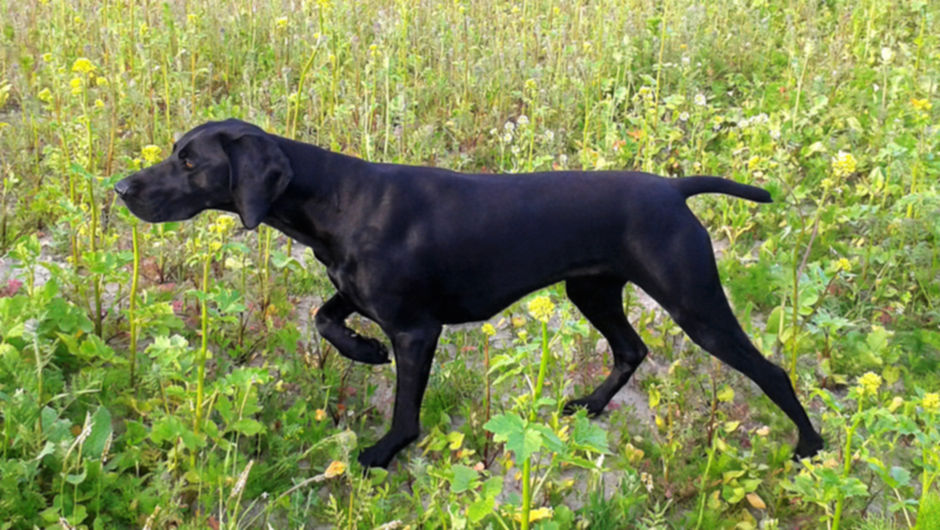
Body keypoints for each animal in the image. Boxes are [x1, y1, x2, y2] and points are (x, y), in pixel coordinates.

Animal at [115, 119, 824, 466]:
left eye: (189, 162)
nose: (121, 188)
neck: (335, 198)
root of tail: (673, 188)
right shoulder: (359, 295)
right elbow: (323, 318)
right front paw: (362, 352)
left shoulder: (415, 329)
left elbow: (404, 411)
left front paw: (382, 455)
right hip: (591, 292)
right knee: (631, 350)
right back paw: (591, 406)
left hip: (695, 304)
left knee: (772, 371)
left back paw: (810, 449)